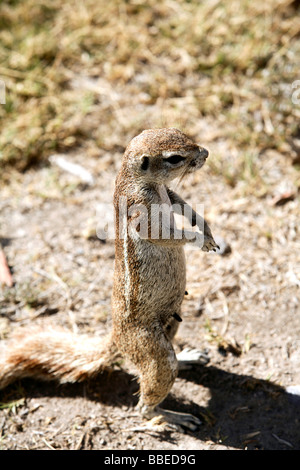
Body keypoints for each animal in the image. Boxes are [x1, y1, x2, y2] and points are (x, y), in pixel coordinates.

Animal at [0, 127, 218, 430]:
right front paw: (198, 239)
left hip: (172, 321)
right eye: (174, 158)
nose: (205, 153)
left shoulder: (170, 194)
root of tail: (116, 337)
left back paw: (187, 357)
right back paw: (171, 416)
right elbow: (163, 234)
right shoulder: (140, 209)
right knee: (147, 399)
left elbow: (182, 203)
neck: (138, 179)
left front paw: (206, 227)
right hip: (152, 348)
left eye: (181, 132)